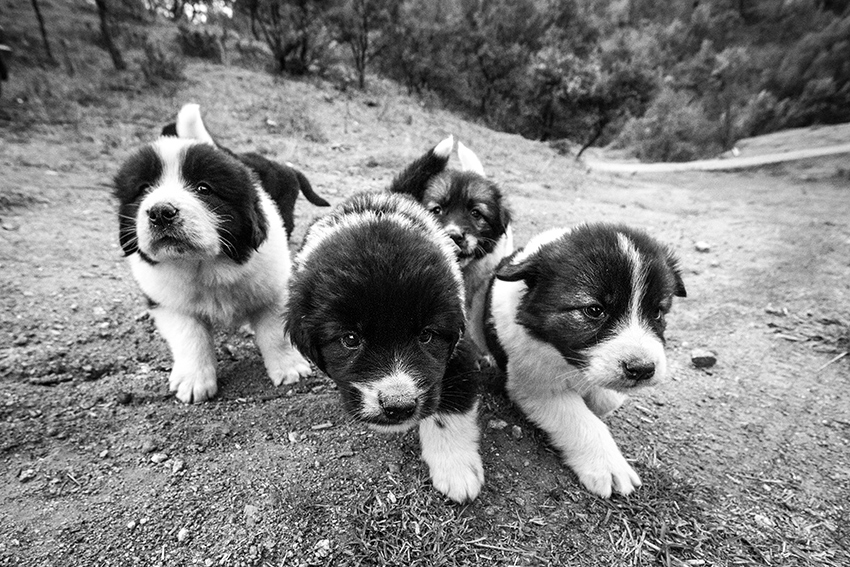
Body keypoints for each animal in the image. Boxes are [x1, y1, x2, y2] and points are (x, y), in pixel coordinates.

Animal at [113, 136, 312, 403]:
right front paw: (193, 381)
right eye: (144, 189)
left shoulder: (273, 288)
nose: (160, 212)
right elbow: (190, 338)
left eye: (203, 189)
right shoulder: (168, 302)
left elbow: (274, 332)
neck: (204, 266)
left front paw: (290, 368)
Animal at [286, 191, 484, 503]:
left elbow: (452, 403)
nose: (398, 405)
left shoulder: (458, 348)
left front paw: (457, 469)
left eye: (426, 335)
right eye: (350, 339)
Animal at [481, 223, 686, 497]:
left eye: (657, 312)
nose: (642, 370)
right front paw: (609, 467)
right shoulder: (536, 385)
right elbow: (581, 420)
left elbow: (607, 398)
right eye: (594, 310)